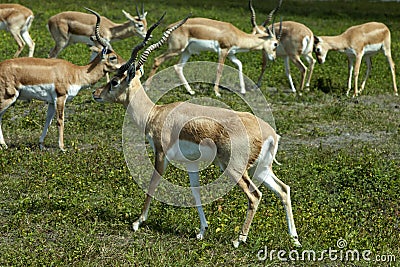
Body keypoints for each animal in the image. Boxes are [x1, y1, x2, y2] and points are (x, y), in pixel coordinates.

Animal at [0, 8, 124, 152]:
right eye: (113, 57)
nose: (125, 64)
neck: (75, 72)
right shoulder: (60, 97)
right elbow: (60, 121)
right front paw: (62, 147)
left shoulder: (51, 102)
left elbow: (48, 121)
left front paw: (41, 144)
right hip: (8, 96)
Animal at [93, 13, 300, 249]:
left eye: (114, 81)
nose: (96, 93)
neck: (155, 114)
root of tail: (270, 133)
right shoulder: (191, 163)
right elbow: (196, 191)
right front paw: (202, 230)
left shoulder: (160, 154)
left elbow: (153, 183)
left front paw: (138, 222)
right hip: (262, 167)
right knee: (284, 189)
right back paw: (295, 239)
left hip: (234, 168)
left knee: (255, 195)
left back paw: (239, 239)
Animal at [145, 0, 282, 97]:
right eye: (275, 44)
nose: (274, 58)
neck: (236, 35)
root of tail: (170, 26)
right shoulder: (223, 51)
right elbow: (219, 69)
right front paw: (217, 92)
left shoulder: (231, 54)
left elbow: (240, 64)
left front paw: (243, 91)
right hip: (176, 49)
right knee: (157, 60)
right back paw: (147, 87)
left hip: (187, 51)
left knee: (178, 67)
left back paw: (191, 91)